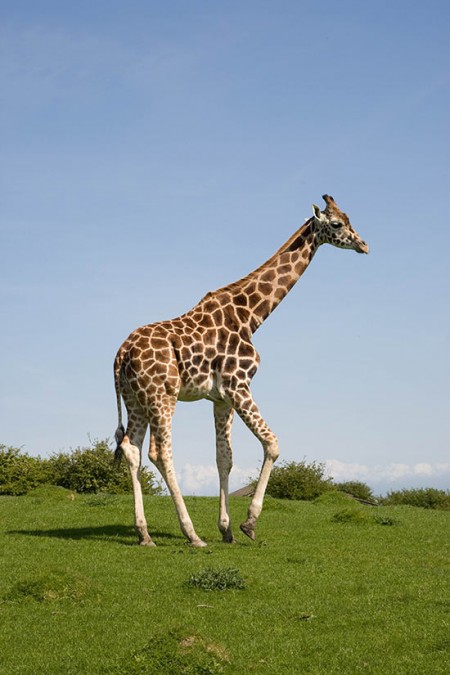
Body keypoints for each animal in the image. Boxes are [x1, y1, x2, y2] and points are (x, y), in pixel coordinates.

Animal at [114, 195, 368, 547]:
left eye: (349, 218)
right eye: (336, 223)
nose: (364, 245)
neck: (251, 316)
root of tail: (121, 354)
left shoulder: (221, 398)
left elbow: (225, 458)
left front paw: (227, 529)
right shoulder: (239, 385)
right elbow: (272, 443)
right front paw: (249, 523)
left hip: (134, 400)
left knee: (131, 449)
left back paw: (144, 534)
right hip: (162, 395)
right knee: (160, 452)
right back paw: (191, 534)